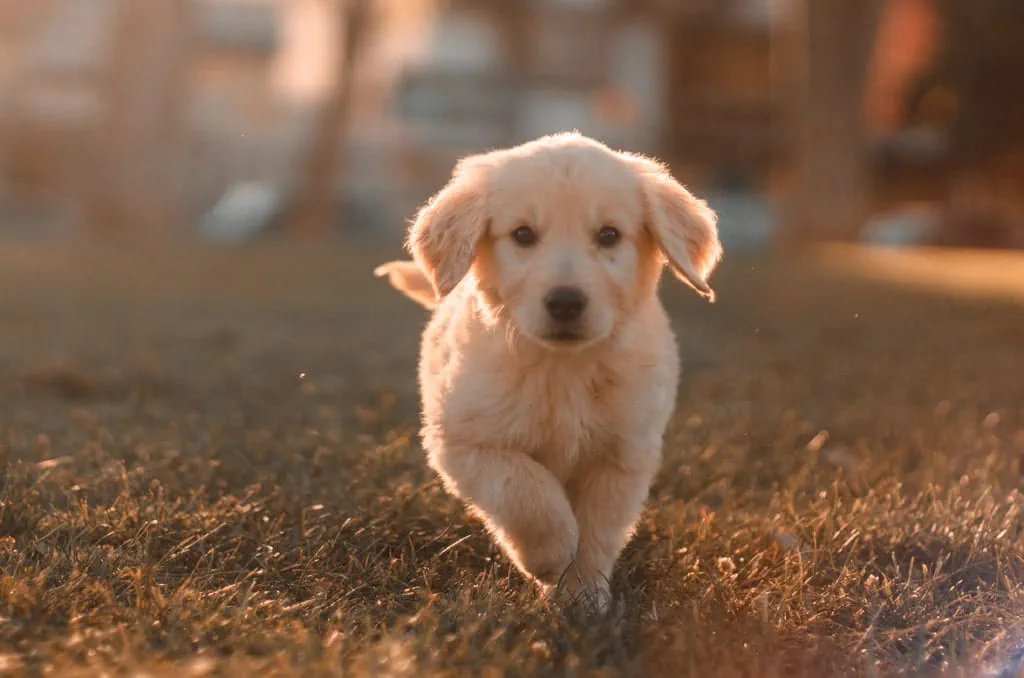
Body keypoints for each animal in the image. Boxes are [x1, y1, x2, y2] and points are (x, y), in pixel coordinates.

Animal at [374, 131, 720, 610]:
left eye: (609, 235)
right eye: (523, 234)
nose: (566, 303)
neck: (564, 367)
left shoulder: (622, 454)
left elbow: (597, 531)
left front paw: (583, 596)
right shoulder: (464, 441)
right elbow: (525, 490)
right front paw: (550, 555)